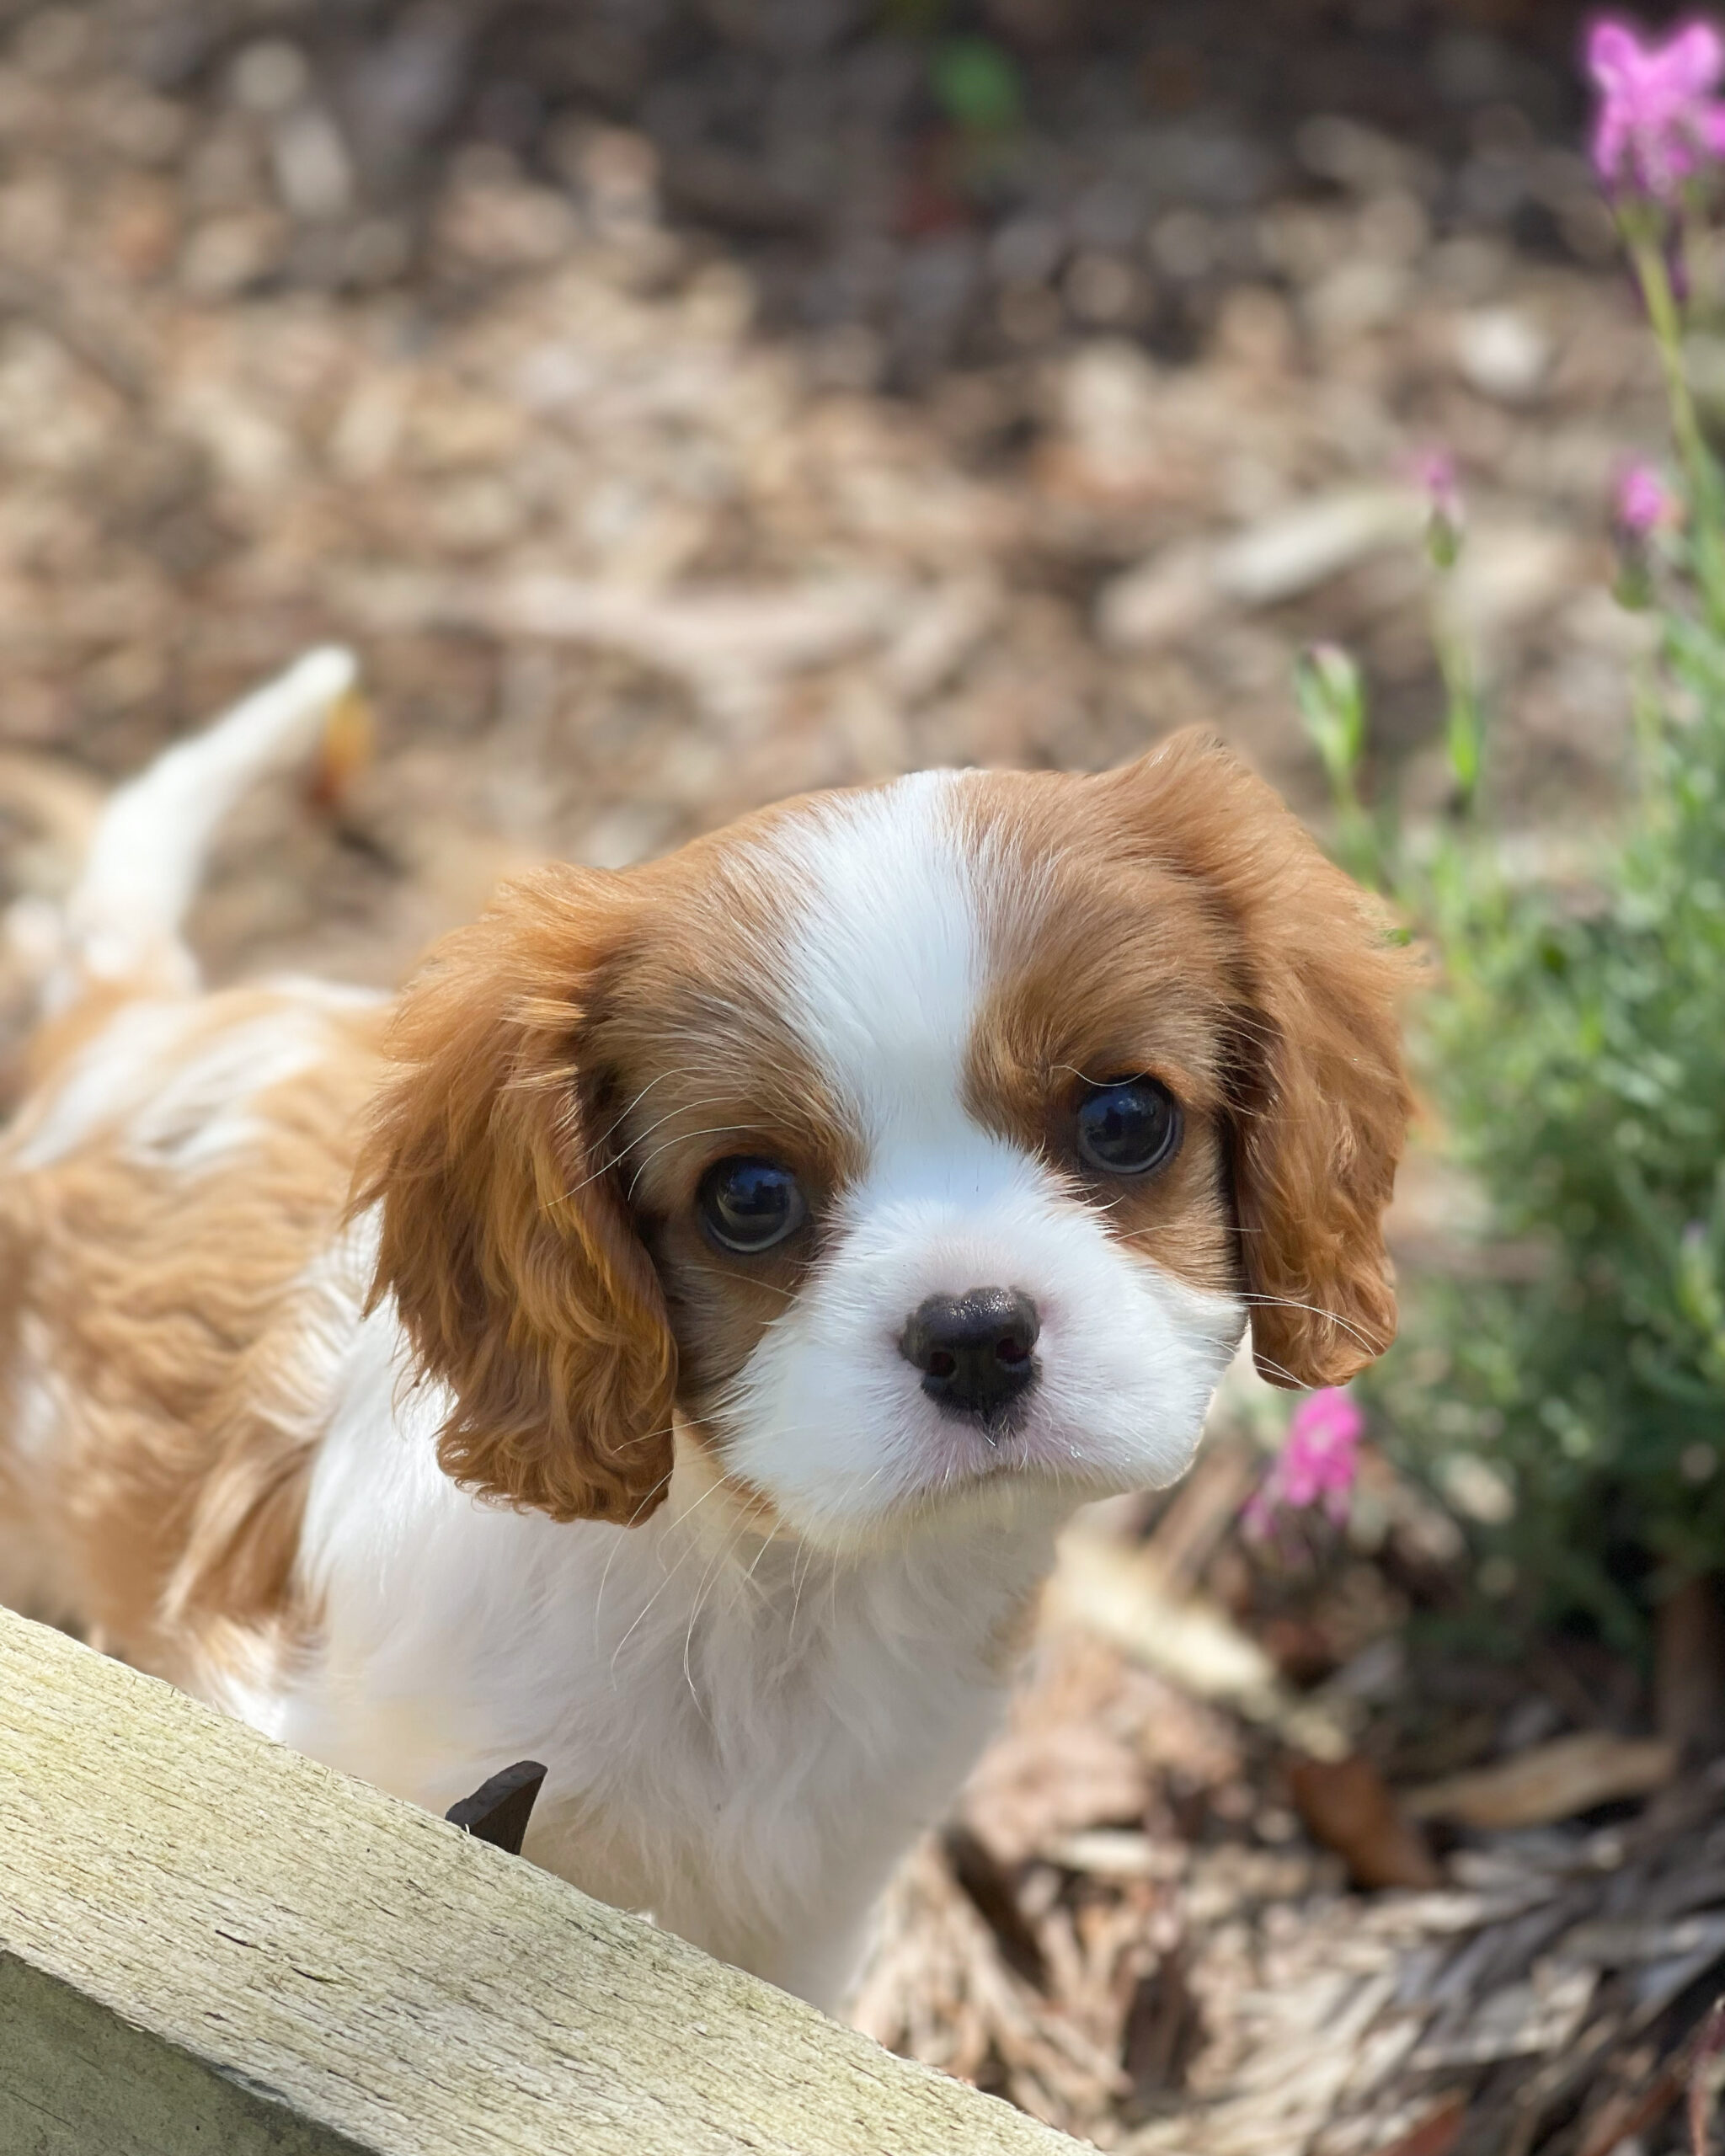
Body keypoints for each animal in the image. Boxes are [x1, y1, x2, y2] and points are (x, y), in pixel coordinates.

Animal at [0, 647, 1406, 2009]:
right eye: (748, 1197)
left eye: (1124, 1118)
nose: (975, 1334)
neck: (769, 1581)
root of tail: (131, 1019)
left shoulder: (812, 1918)